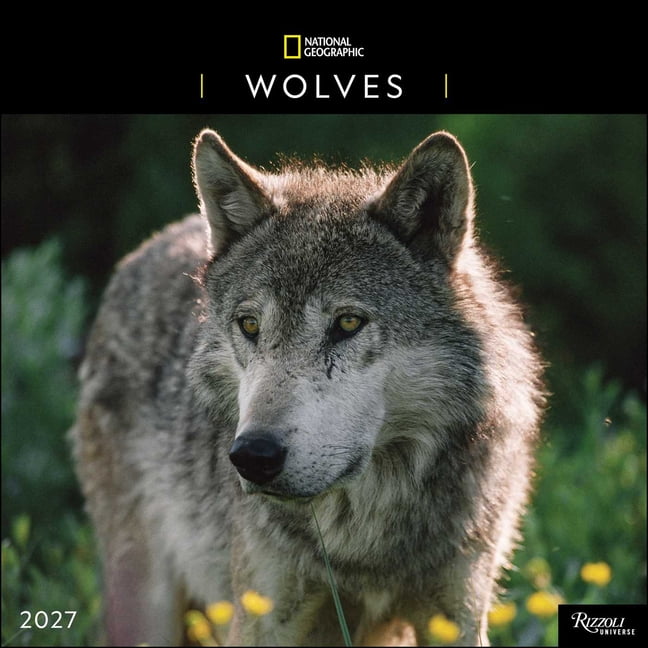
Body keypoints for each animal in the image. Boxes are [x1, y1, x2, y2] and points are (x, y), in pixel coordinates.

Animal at [70, 128, 545, 646]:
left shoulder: (456, 614)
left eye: (348, 323)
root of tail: (149, 247)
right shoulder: (263, 616)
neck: (362, 534)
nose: (253, 456)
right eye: (250, 325)